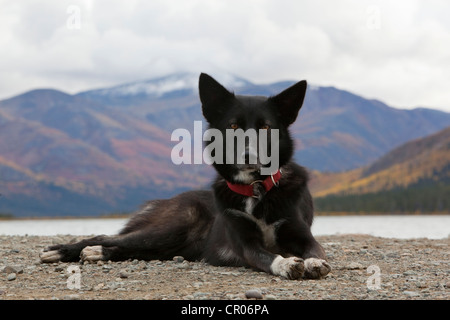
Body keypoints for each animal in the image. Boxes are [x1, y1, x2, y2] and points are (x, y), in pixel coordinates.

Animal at [41, 74, 330, 278]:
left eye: (266, 127)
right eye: (233, 126)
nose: (248, 156)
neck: (256, 189)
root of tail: (164, 200)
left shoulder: (300, 233)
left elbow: (316, 249)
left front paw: (315, 262)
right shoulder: (245, 243)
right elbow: (266, 256)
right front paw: (286, 264)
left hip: (171, 245)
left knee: (131, 249)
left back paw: (97, 254)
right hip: (173, 226)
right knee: (110, 236)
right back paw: (63, 250)